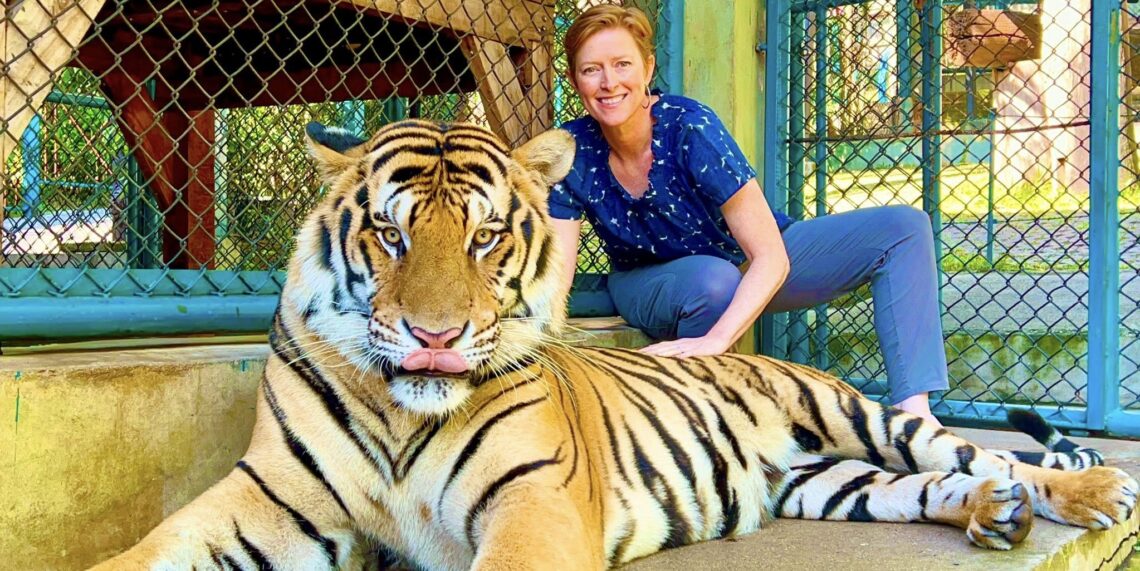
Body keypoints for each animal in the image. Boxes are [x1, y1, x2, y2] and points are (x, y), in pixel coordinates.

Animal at [91, 119, 1137, 571]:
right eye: (389, 234)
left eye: (484, 237)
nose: (435, 335)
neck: (400, 413)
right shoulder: (267, 498)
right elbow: (142, 553)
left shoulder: (533, 505)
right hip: (827, 482)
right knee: (922, 488)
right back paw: (991, 517)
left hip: (858, 412)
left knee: (976, 453)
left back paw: (1084, 491)